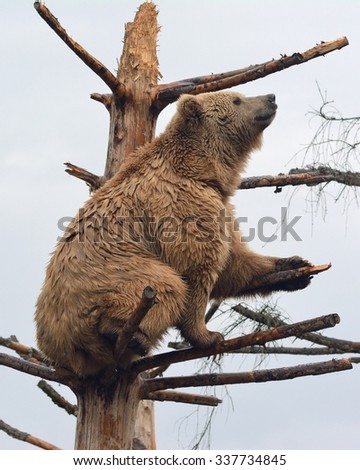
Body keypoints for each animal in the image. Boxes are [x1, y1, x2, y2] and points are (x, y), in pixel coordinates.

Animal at [35, 90, 312, 376]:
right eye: (237, 100)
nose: (271, 97)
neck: (202, 170)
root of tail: (57, 350)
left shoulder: (221, 206)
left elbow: (234, 264)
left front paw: (296, 267)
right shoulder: (181, 204)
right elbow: (197, 266)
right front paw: (207, 335)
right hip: (104, 281)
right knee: (166, 285)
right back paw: (123, 332)